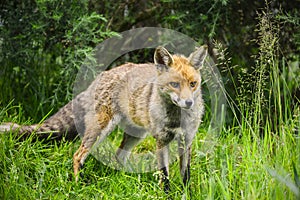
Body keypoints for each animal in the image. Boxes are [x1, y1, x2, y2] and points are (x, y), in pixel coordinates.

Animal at [0, 45, 207, 192]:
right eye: (174, 84)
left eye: (193, 84)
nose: (189, 102)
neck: (177, 118)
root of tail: (102, 75)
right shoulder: (161, 140)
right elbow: (164, 175)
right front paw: (167, 195)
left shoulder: (187, 139)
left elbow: (186, 175)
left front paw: (187, 194)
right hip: (100, 129)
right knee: (78, 156)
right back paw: (77, 187)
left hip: (136, 134)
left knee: (118, 155)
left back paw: (127, 179)